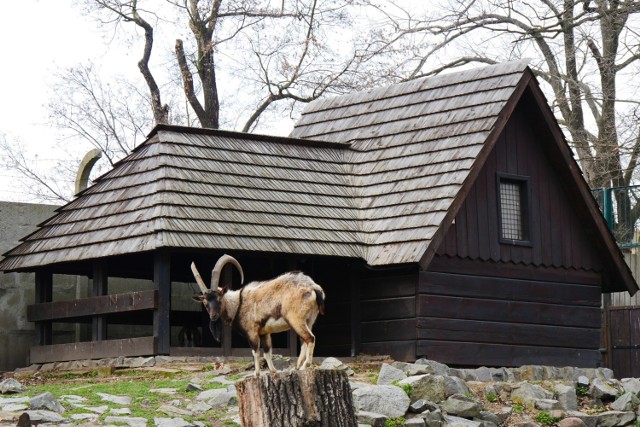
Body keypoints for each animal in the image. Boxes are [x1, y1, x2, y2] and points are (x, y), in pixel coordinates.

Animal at [190, 256, 324, 376]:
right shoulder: (264, 333)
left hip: (295, 319)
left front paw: (256, 373)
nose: (213, 316)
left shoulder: (252, 332)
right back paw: (298, 366)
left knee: (310, 338)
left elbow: (255, 352)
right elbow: (267, 352)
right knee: (304, 340)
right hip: (309, 320)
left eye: (219, 299)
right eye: (205, 303)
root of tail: (314, 288)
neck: (238, 304)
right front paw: (273, 371)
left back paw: (305, 366)